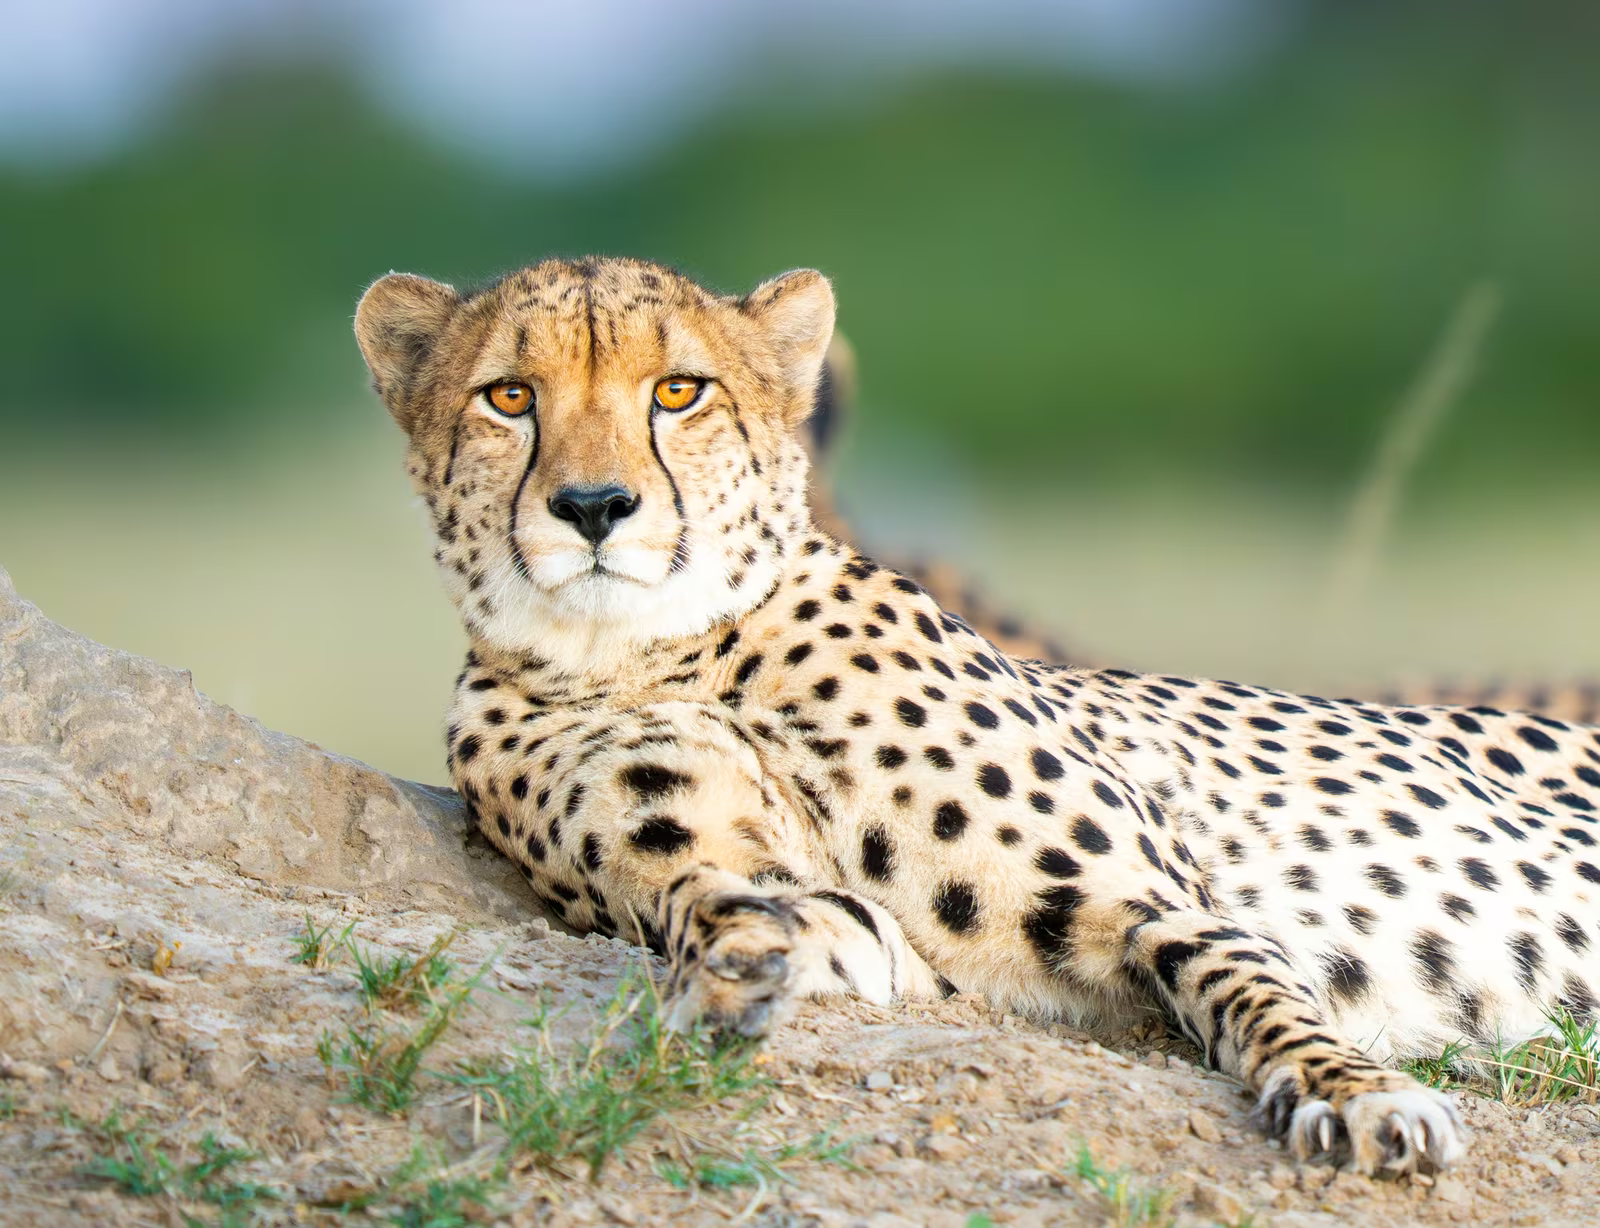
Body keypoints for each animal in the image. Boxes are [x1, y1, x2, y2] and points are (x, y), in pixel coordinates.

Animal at [354, 255, 1600, 1177]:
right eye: (509, 397)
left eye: (678, 391)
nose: (594, 505)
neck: (671, 651)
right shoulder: (836, 922)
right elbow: (737, 912)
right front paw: (725, 978)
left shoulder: (1153, 898)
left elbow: (1255, 993)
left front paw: (1360, 1095)